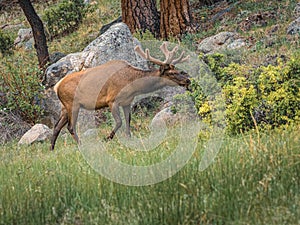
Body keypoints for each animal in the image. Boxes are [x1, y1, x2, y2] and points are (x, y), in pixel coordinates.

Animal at [49, 42, 190, 151]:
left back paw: (52, 149)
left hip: (64, 107)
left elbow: (128, 120)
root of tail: (57, 86)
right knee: (70, 126)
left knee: (57, 127)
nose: (187, 80)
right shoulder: (112, 100)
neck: (132, 84)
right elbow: (119, 122)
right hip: (72, 103)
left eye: (177, 70)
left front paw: (129, 138)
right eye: (171, 73)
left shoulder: (127, 102)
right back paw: (81, 145)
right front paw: (107, 138)